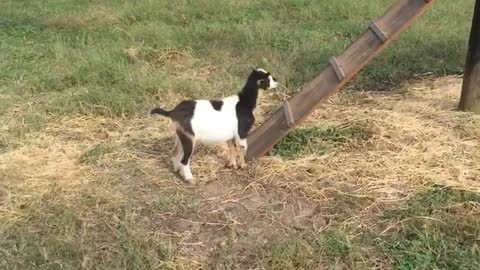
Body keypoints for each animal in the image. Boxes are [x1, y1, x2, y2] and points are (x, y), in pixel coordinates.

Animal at [150, 67, 278, 182]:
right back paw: (189, 178)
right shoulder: (242, 132)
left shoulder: (230, 135)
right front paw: (243, 166)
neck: (245, 102)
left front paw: (232, 165)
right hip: (189, 138)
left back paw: (177, 170)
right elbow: (243, 148)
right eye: (268, 78)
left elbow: (232, 147)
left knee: (175, 153)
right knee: (184, 159)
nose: (276, 81)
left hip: (181, 135)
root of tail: (173, 112)